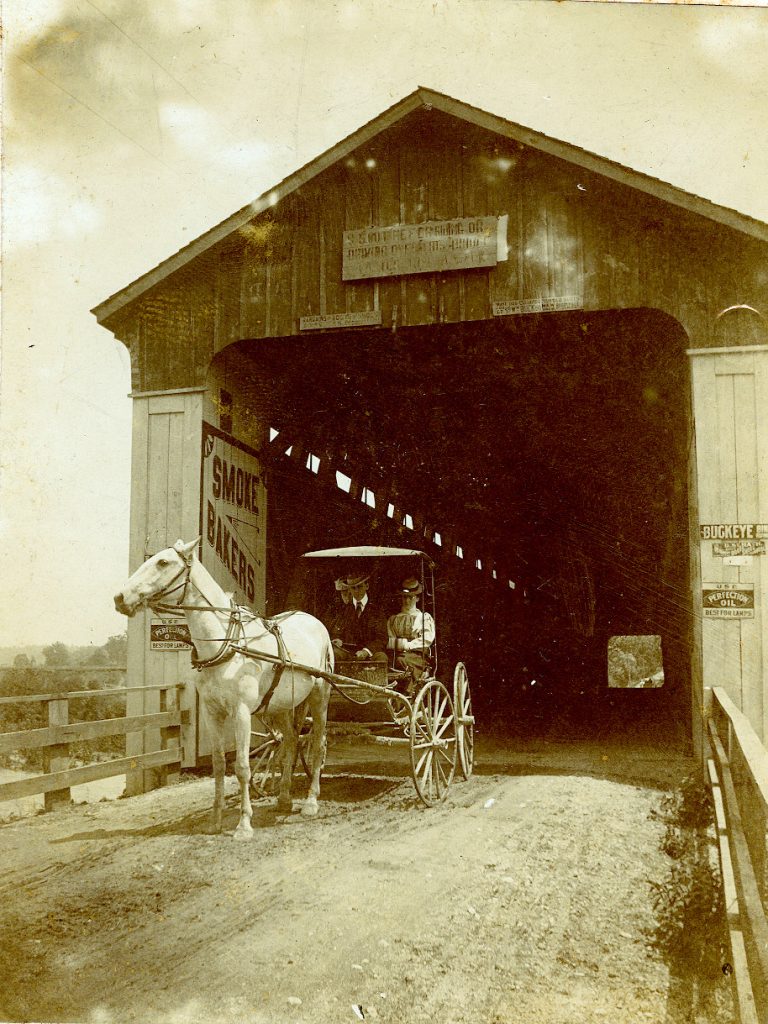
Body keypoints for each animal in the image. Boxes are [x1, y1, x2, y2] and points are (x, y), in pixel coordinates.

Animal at [114, 540, 333, 835]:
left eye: (163, 562)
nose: (120, 598)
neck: (227, 643)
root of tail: (314, 621)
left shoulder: (241, 712)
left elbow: (241, 767)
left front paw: (244, 825)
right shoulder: (211, 713)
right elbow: (219, 765)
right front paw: (215, 821)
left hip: (320, 697)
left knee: (317, 746)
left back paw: (310, 802)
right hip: (280, 707)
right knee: (290, 741)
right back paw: (284, 799)